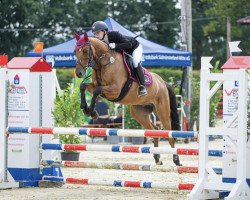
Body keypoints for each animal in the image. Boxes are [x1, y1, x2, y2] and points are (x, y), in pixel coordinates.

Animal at [74, 31, 182, 166]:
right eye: (74, 51)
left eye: (85, 50)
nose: (78, 73)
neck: (104, 62)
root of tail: (162, 82)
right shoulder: (94, 86)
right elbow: (83, 86)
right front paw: (85, 108)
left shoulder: (115, 90)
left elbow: (97, 91)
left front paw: (92, 112)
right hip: (139, 112)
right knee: (154, 130)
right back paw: (157, 158)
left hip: (162, 110)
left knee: (169, 134)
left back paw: (176, 160)